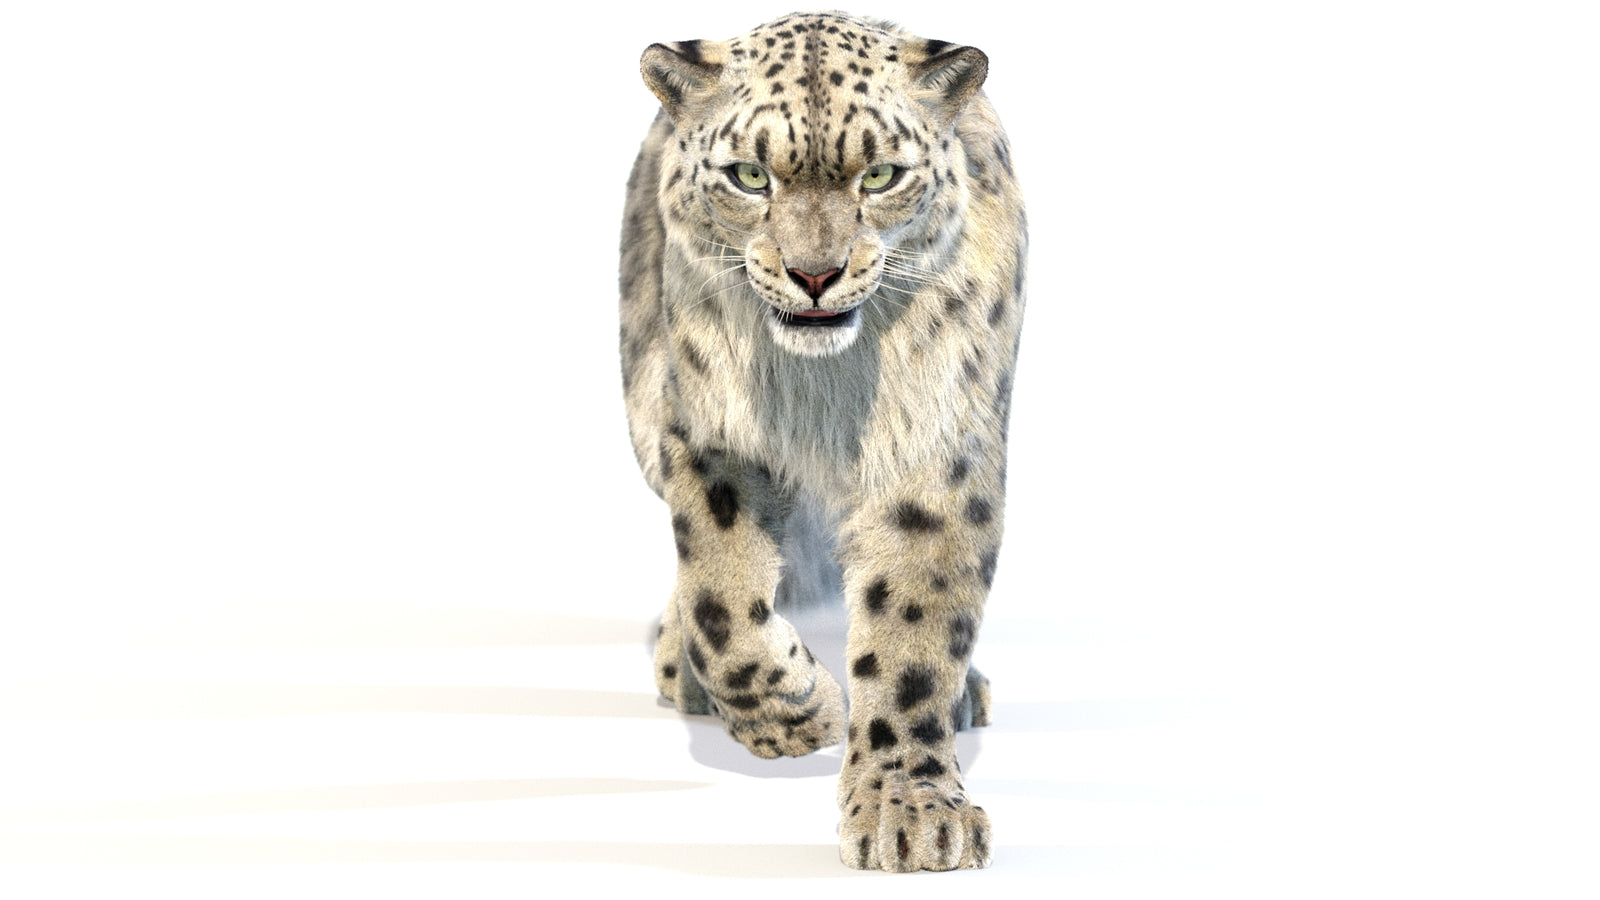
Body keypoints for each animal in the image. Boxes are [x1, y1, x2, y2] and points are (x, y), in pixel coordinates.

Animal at [618, 11, 1026, 872]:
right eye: (748, 175)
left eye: (879, 176)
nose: (814, 274)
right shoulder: (708, 436)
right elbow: (720, 600)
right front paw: (798, 715)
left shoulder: (933, 450)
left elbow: (911, 630)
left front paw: (911, 812)